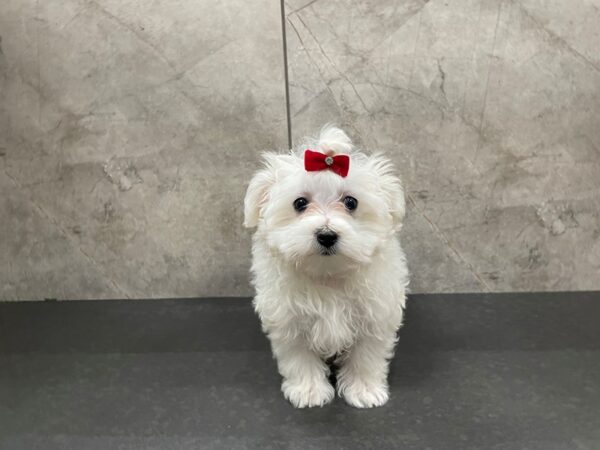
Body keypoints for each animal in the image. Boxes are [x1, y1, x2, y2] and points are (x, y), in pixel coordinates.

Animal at [244, 125, 408, 408]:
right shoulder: (289, 319)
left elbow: (366, 356)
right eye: (299, 203)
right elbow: (299, 357)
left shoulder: (374, 315)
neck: (327, 274)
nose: (326, 235)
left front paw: (364, 389)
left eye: (351, 202)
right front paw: (308, 390)